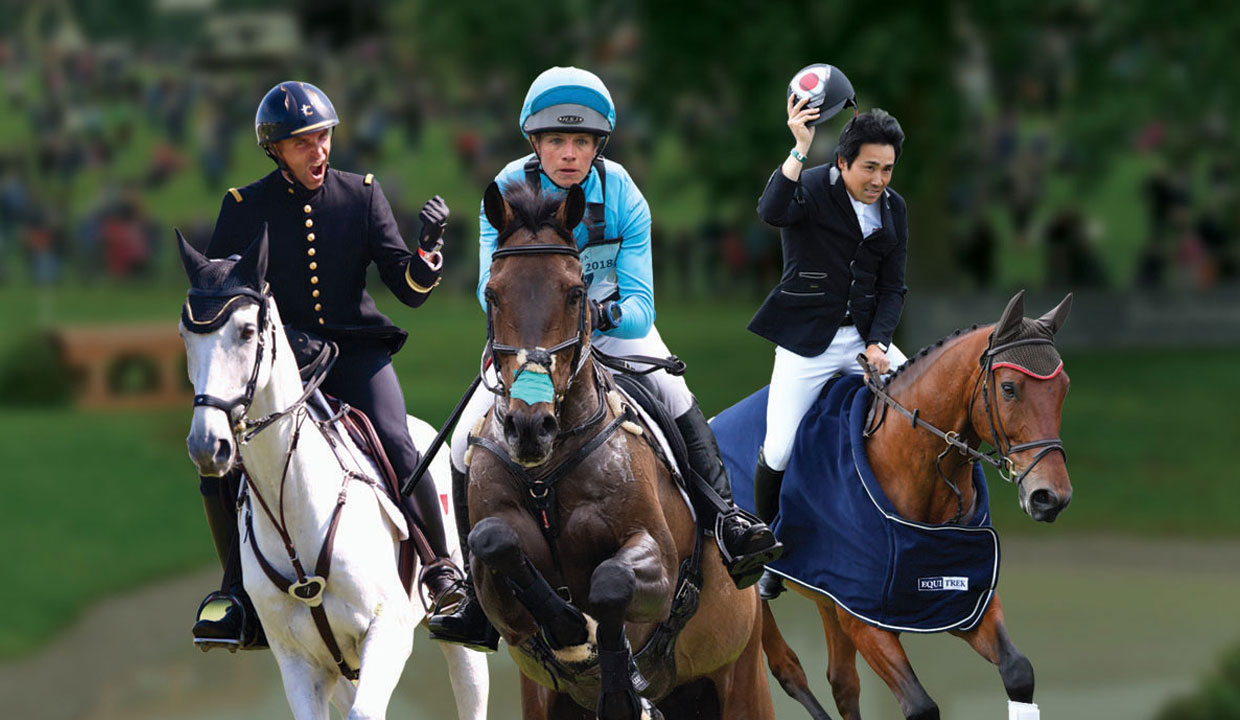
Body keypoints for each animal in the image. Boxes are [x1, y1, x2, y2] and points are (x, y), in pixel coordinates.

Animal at [177, 230, 486, 718]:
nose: (208, 443)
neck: (293, 507)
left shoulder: (387, 634)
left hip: (456, 643)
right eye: (186, 335)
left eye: (247, 332)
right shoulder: (299, 663)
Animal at [466, 182, 773, 718]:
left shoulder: (660, 563)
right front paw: (568, 626)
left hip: (742, 678)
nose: (529, 427)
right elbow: (493, 542)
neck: (546, 474)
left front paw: (615, 685)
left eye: (575, 293)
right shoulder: (497, 596)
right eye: (491, 294)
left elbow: (611, 583)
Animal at [739, 292, 1071, 718]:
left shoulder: (963, 602)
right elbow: (921, 705)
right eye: (1010, 388)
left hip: (828, 598)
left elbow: (1018, 671)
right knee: (787, 669)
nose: (1051, 497)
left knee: (842, 682)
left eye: (1063, 387)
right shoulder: (867, 622)